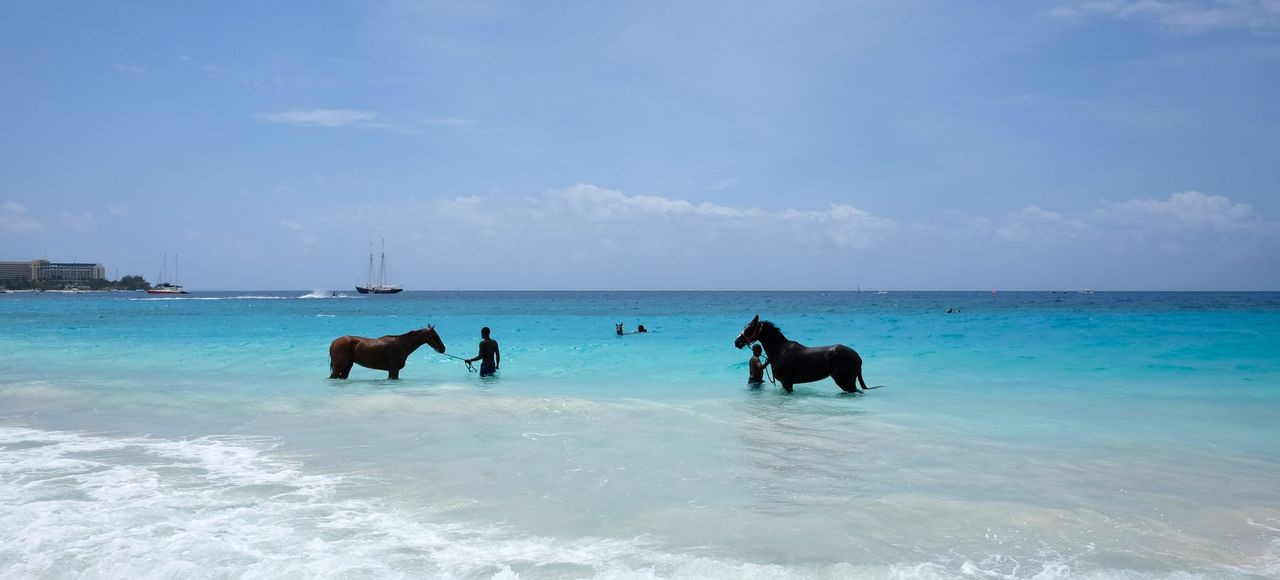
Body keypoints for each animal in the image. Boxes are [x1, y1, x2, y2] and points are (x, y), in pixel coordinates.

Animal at [733, 314, 867, 394]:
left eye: (749, 328)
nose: (736, 342)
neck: (779, 350)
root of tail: (858, 357)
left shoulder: (787, 383)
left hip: (845, 382)